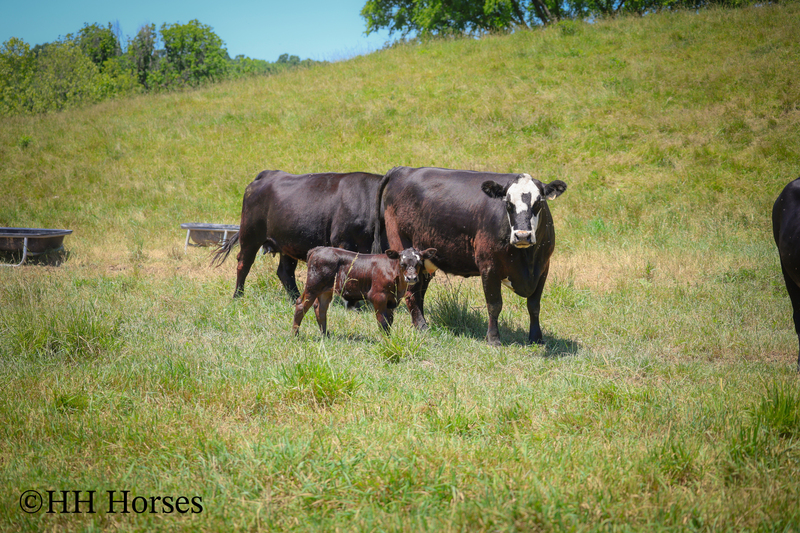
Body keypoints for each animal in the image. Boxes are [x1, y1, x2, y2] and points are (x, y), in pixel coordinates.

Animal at [213, 170, 387, 299]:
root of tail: (268, 174)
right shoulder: (345, 242)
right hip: (250, 235)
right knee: (244, 263)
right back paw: (238, 295)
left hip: (286, 242)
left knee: (285, 271)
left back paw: (295, 297)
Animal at [292, 246, 436, 336]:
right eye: (402, 263)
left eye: (419, 263)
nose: (411, 278)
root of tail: (318, 249)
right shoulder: (378, 297)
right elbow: (383, 322)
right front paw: (386, 341)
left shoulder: (391, 301)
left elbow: (389, 321)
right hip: (313, 285)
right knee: (301, 305)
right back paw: (295, 335)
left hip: (325, 290)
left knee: (320, 309)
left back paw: (325, 335)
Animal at [371, 166, 567, 346]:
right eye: (508, 203)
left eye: (538, 203)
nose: (523, 235)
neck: (526, 258)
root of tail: (404, 169)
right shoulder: (489, 266)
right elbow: (494, 305)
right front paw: (493, 339)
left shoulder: (543, 268)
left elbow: (534, 305)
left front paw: (536, 338)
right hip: (403, 246)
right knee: (411, 293)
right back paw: (421, 326)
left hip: (425, 261)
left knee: (418, 292)